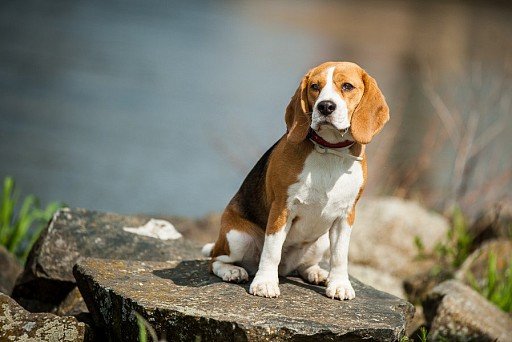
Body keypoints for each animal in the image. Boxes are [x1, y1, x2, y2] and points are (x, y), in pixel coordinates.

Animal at [200, 61, 388, 300]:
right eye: (315, 86)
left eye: (347, 86)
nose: (325, 107)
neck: (329, 151)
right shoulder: (282, 208)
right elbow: (271, 251)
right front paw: (265, 283)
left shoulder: (346, 216)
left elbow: (340, 256)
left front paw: (339, 284)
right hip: (238, 237)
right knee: (215, 260)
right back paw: (232, 271)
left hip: (321, 241)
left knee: (303, 266)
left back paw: (317, 273)